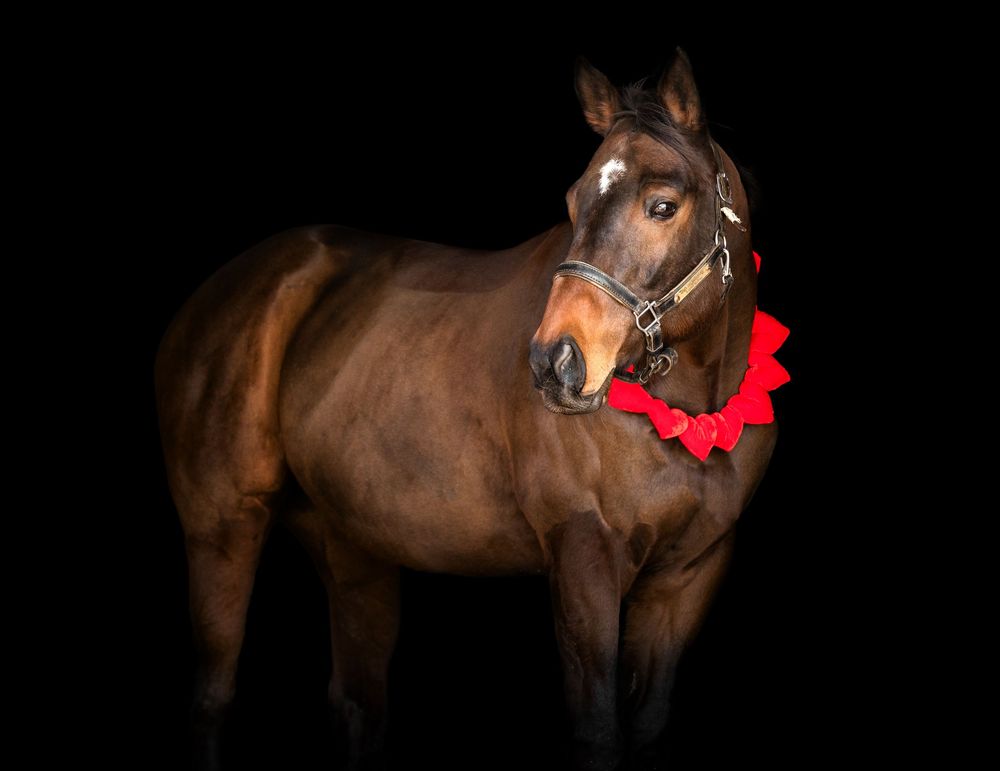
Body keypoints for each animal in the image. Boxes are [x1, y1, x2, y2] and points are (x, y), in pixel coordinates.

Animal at [156, 50, 781, 771]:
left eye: (662, 205)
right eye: (574, 201)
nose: (554, 363)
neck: (688, 421)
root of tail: (212, 297)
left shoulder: (688, 576)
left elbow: (647, 727)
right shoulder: (583, 556)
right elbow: (598, 731)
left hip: (349, 539)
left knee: (356, 702)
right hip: (222, 529)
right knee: (213, 699)